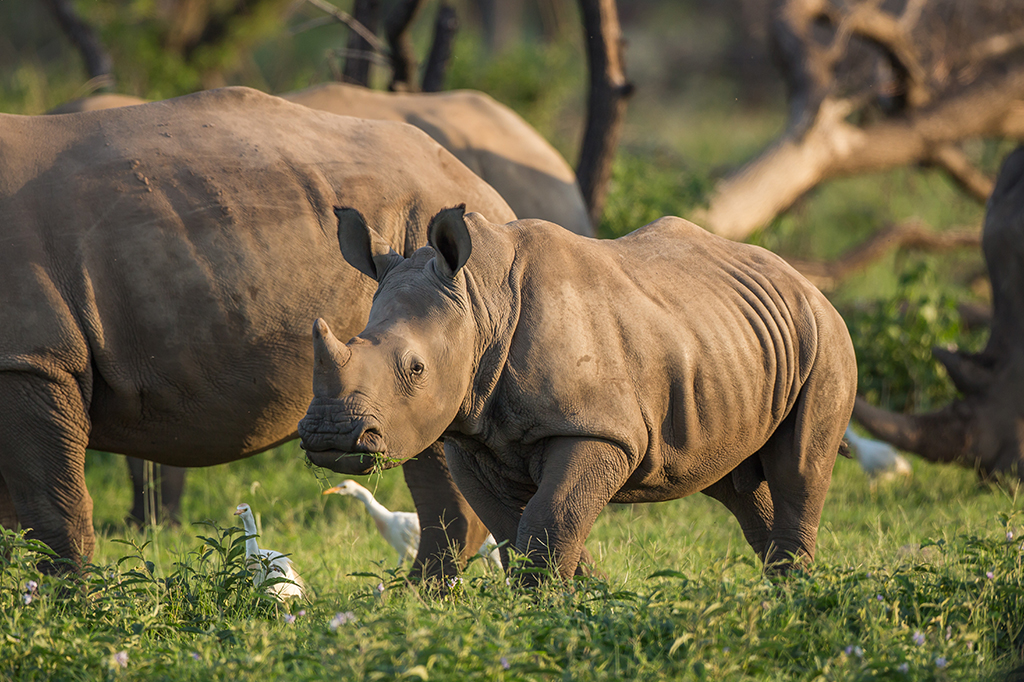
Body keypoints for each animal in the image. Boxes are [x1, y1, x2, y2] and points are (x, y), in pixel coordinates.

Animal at [0, 86, 512, 573]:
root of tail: (484, 190)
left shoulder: (32, 361)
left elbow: (53, 514)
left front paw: (69, 604)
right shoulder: (32, 362)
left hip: (426, 233)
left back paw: (415, 595)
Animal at [299, 205, 860, 577]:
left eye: (416, 368)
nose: (331, 435)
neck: (478, 303)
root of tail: (802, 280)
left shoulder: (596, 429)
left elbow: (550, 521)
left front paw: (557, 611)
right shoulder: (470, 436)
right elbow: (518, 531)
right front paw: (585, 601)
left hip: (826, 335)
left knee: (799, 468)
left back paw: (795, 600)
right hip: (726, 342)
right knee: (733, 480)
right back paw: (780, 594)